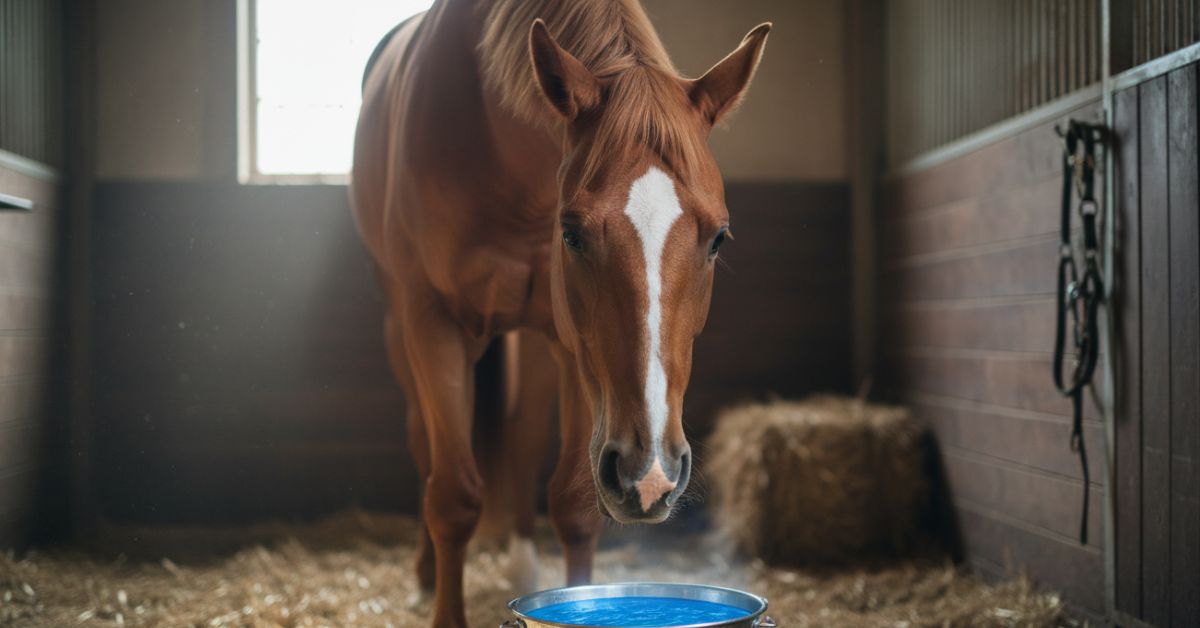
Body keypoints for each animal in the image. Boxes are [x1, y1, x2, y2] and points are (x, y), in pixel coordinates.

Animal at [351, 1, 769, 624]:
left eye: (718, 238)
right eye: (571, 233)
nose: (651, 476)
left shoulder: (568, 342)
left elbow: (572, 504)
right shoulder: (433, 321)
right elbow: (452, 497)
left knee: (522, 437)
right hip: (399, 327)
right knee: (424, 444)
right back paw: (426, 574)